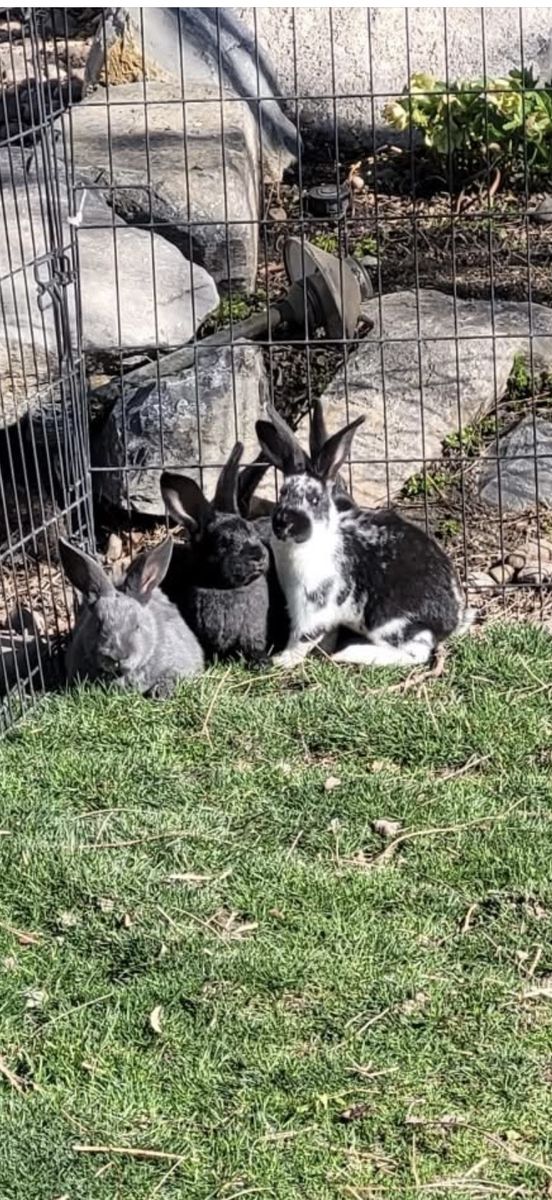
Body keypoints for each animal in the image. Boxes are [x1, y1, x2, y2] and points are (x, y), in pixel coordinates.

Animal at [160, 442, 288, 663]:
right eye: (224, 542)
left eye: (253, 531)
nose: (259, 557)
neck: (223, 587)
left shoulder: (253, 632)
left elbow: (254, 646)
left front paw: (262, 662)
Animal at [255, 404, 472, 669]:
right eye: (282, 493)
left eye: (315, 500)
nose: (284, 523)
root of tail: (452, 620)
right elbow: (325, 635)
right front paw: (320, 653)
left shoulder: (311, 607)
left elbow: (302, 638)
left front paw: (281, 660)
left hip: (387, 620)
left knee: (416, 654)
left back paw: (350, 653)